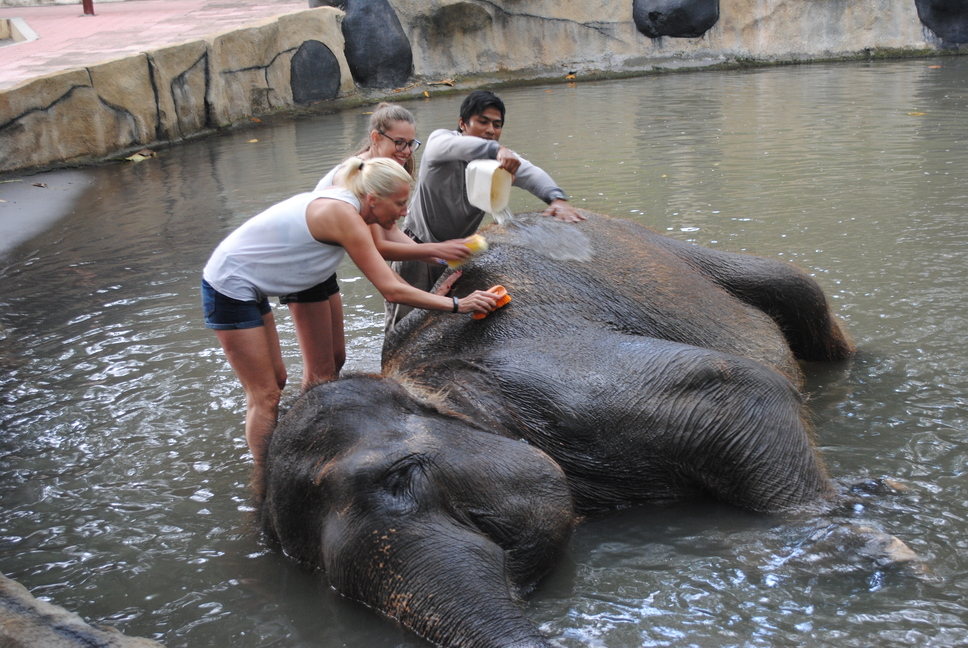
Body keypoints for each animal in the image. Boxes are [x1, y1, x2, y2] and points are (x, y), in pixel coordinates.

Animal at [260, 211, 857, 648]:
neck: (430, 381)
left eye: (400, 477)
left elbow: (735, 387)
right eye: (325, 581)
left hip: (657, 247)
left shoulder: (564, 383)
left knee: (795, 289)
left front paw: (846, 542)